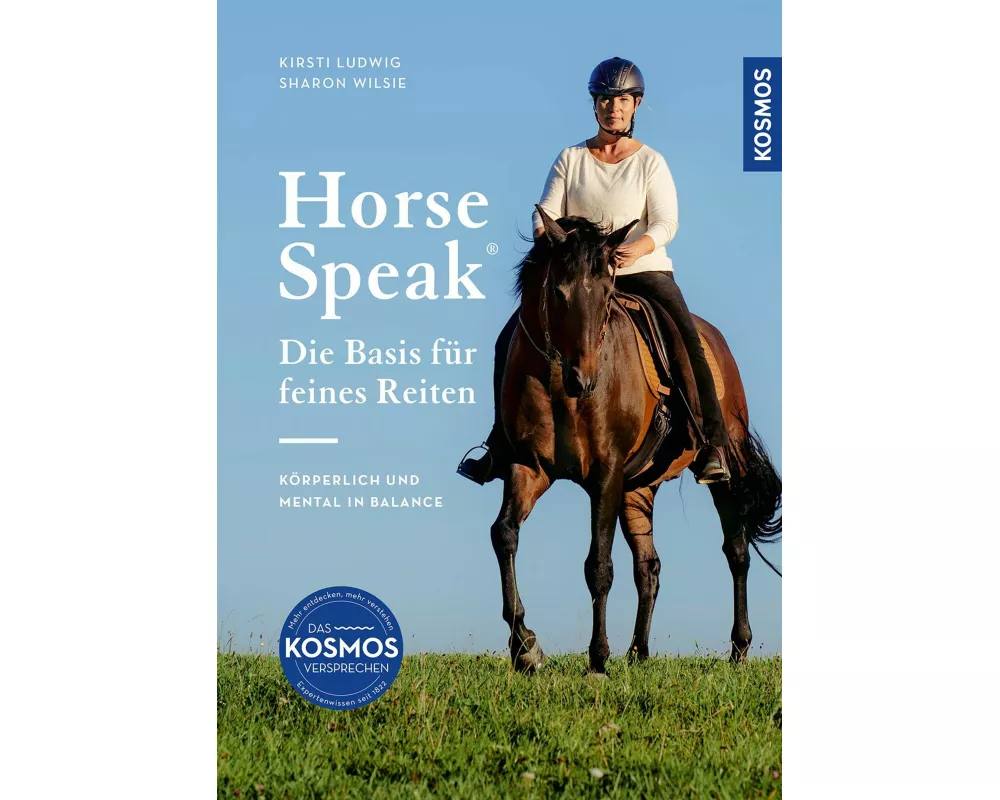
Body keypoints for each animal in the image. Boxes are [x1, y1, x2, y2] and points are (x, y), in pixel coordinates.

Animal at [490, 207, 781, 675]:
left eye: (608, 293)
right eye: (558, 291)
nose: (583, 379)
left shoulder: (605, 473)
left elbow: (598, 565)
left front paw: (597, 659)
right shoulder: (529, 467)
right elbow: (504, 535)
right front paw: (526, 648)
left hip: (725, 470)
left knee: (736, 550)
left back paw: (738, 649)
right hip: (637, 487)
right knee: (649, 566)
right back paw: (638, 652)